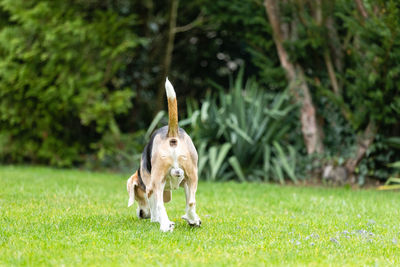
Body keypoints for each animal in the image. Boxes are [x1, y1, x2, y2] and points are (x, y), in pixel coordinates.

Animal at [126, 77, 202, 232]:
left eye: (136, 197)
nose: (140, 215)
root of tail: (171, 134)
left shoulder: (149, 189)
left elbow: (155, 206)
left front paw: (155, 220)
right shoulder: (186, 182)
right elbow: (189, 202)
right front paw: (193, 219)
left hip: (157, 180)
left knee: (160, 204)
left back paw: (165, 225)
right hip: (192, 175)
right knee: (191, 202)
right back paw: (191, 219)